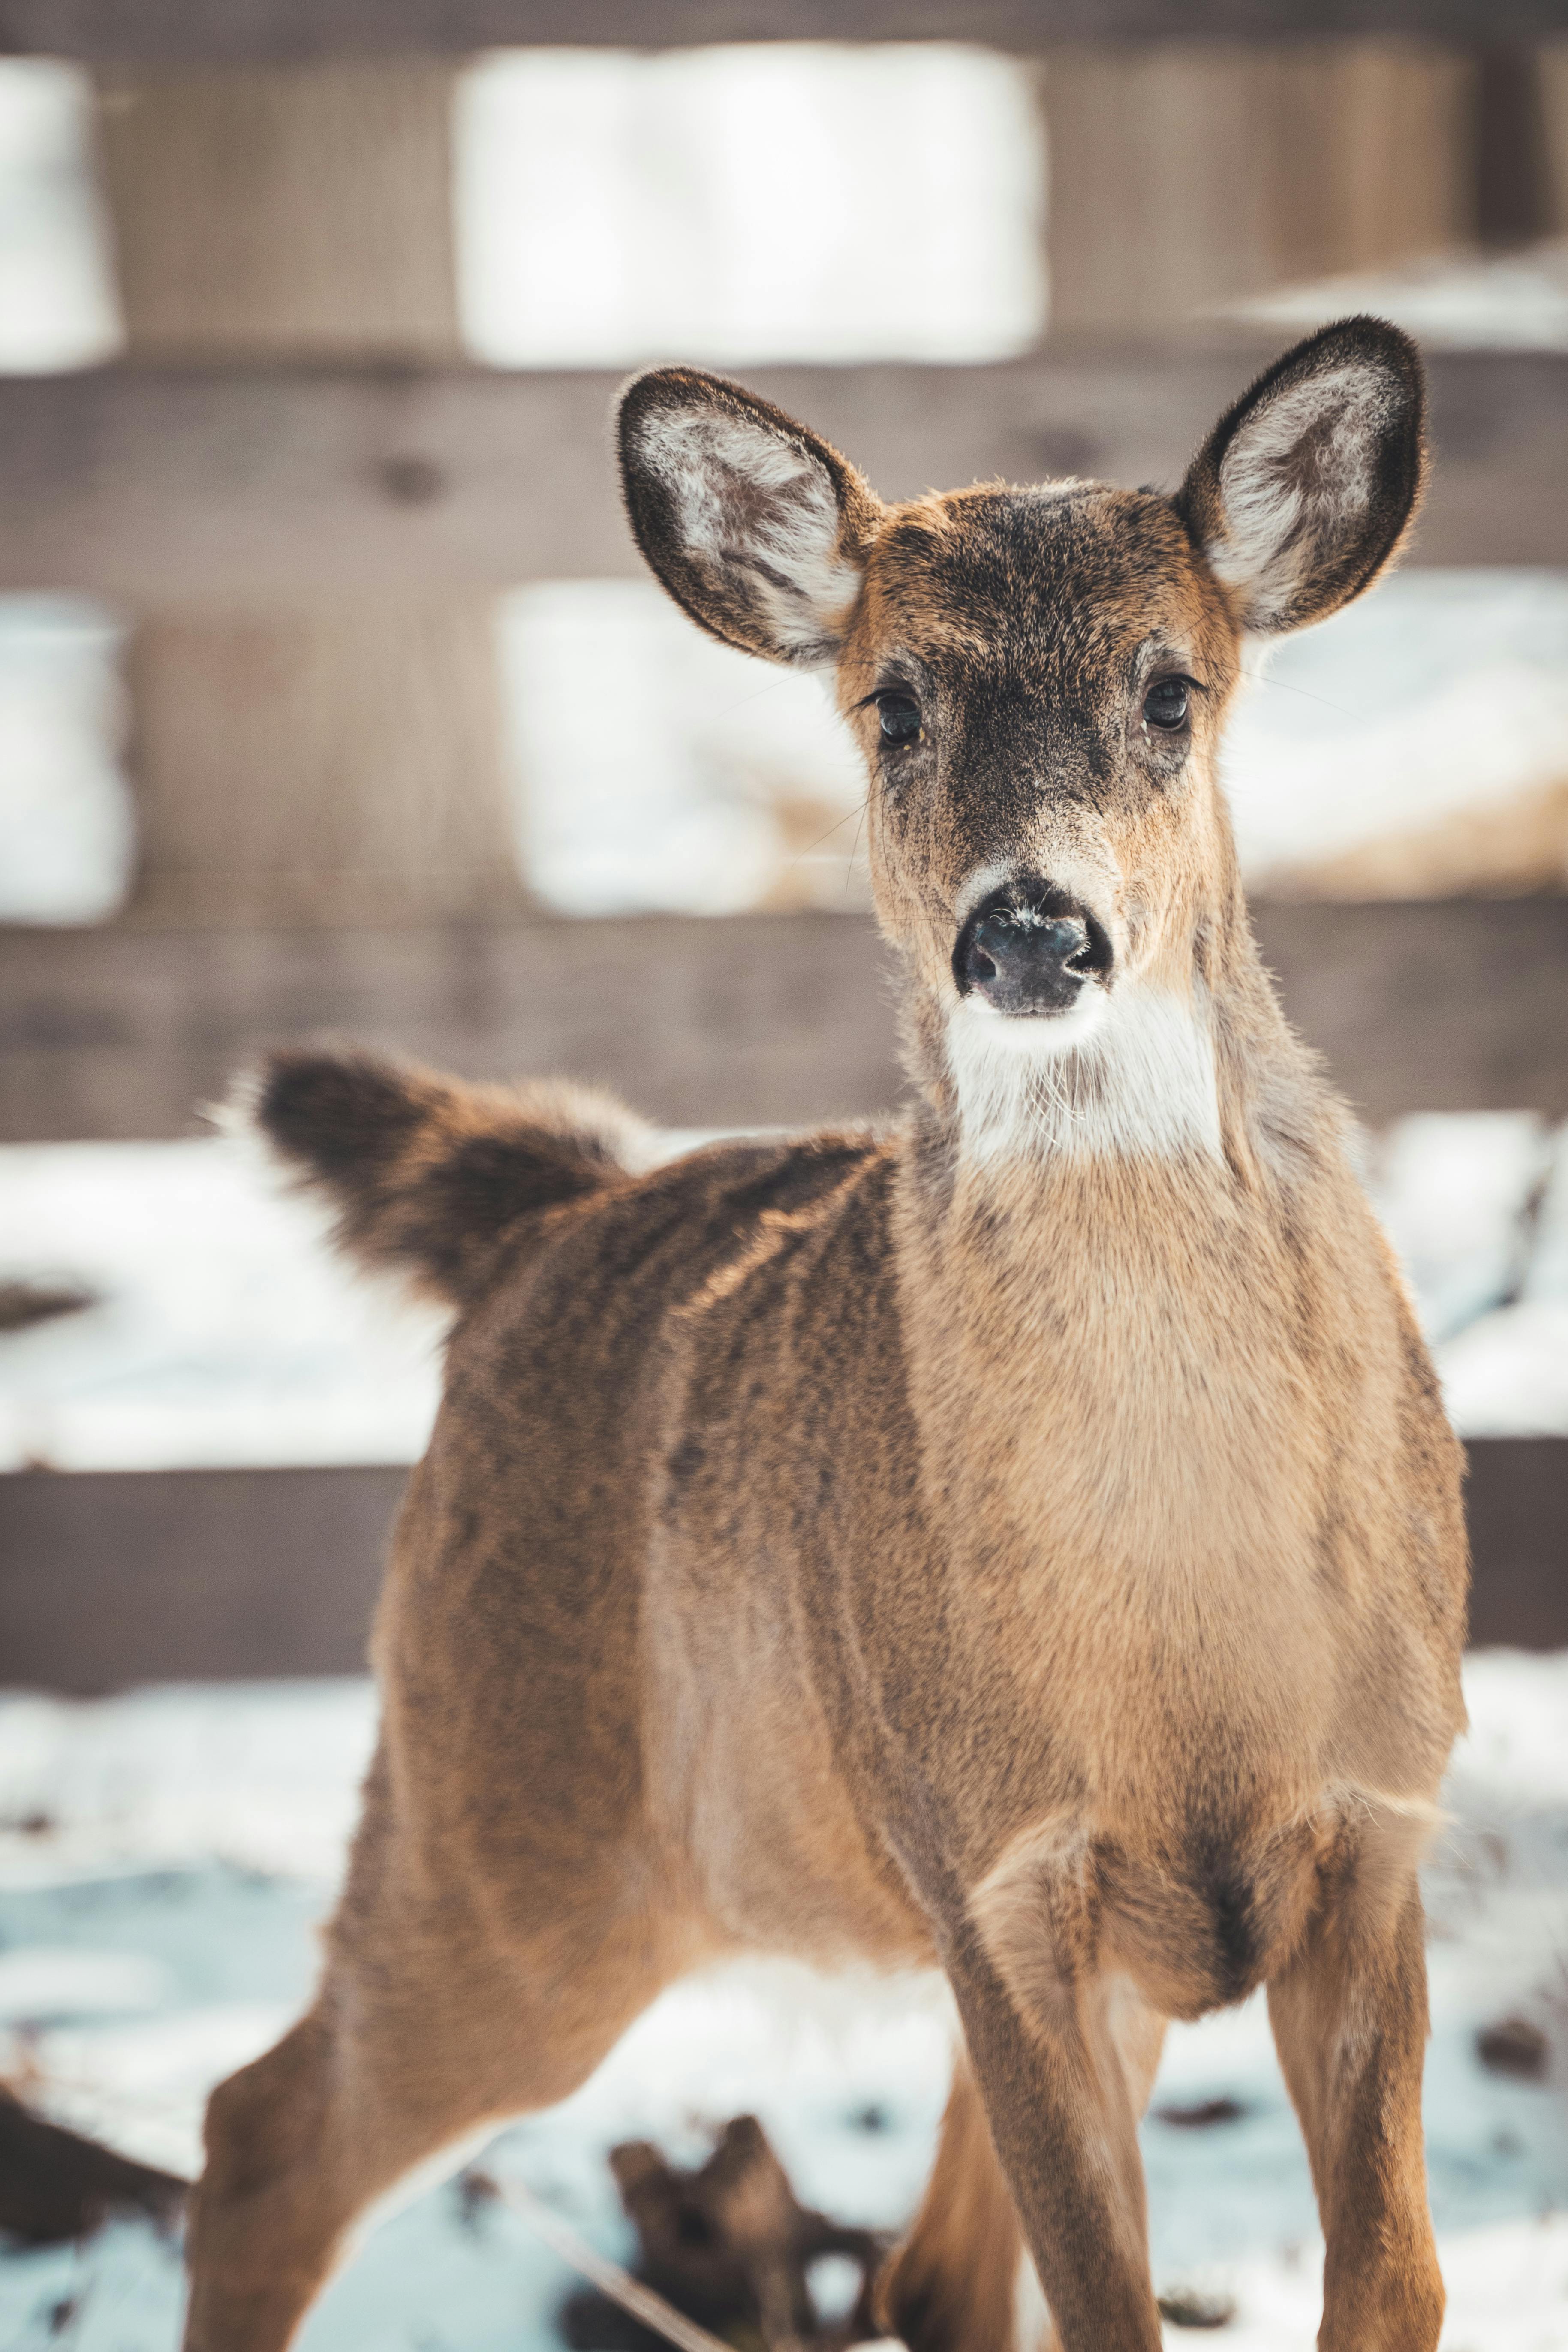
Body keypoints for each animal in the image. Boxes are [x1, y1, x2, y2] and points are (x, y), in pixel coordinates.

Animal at [183, 316, 1467, 2352]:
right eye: (892, 704)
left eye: (1170, 688)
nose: (1031, 929)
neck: (1178, 1629)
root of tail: (546, 1219)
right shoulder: (990, 1876)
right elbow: (1099, 2302)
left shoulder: (1373, 1819)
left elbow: (1391, 2278)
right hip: (508, 1821)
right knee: (259, 2128)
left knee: (931, 2270)